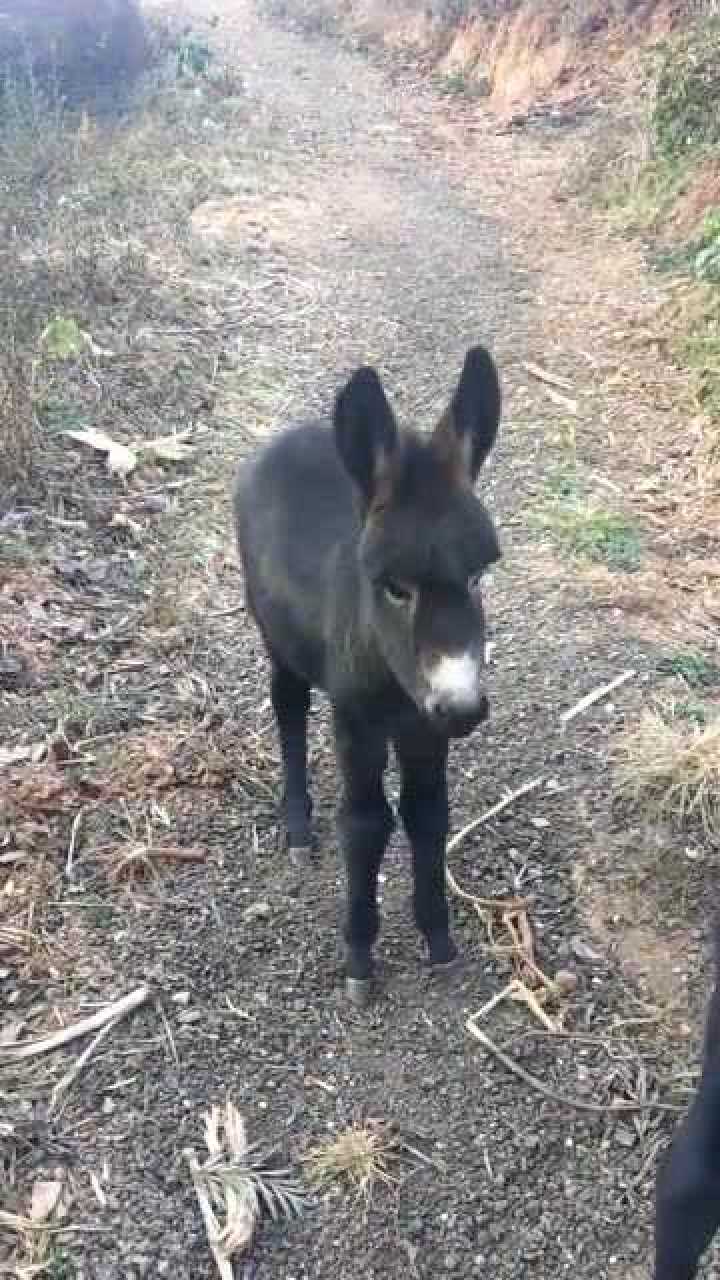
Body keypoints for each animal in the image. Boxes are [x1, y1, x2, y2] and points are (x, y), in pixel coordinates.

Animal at [234, 345, 499, 1003]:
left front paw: (439, 941)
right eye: (394, 588)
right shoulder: (356, 721)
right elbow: (364, 823)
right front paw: (358, 956)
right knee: (287, 708)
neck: (397, 689)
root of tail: (290, 435)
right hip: (277, 639)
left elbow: (428, 815)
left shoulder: (425, 729)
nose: (463, 707)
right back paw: (297, 826)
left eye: (479, 576)